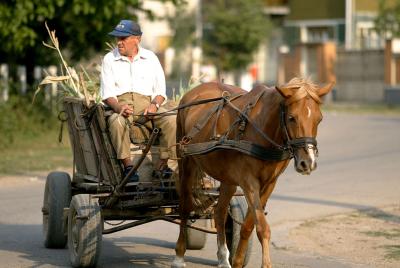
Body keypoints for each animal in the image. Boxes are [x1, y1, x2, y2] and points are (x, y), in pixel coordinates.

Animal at [173, 77, 332, 268]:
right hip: (186, 161)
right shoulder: (249, 182)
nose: (308, 162)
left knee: (219, 212)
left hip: (228, 178)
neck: (262, 129)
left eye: (319, 119)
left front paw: (237, 261)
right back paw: (179, 255)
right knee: (185, 207)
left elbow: (249, 226)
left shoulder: (269, 184)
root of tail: (195, 91)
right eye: (292, 118)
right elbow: (263, 228)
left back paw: (223, 258)